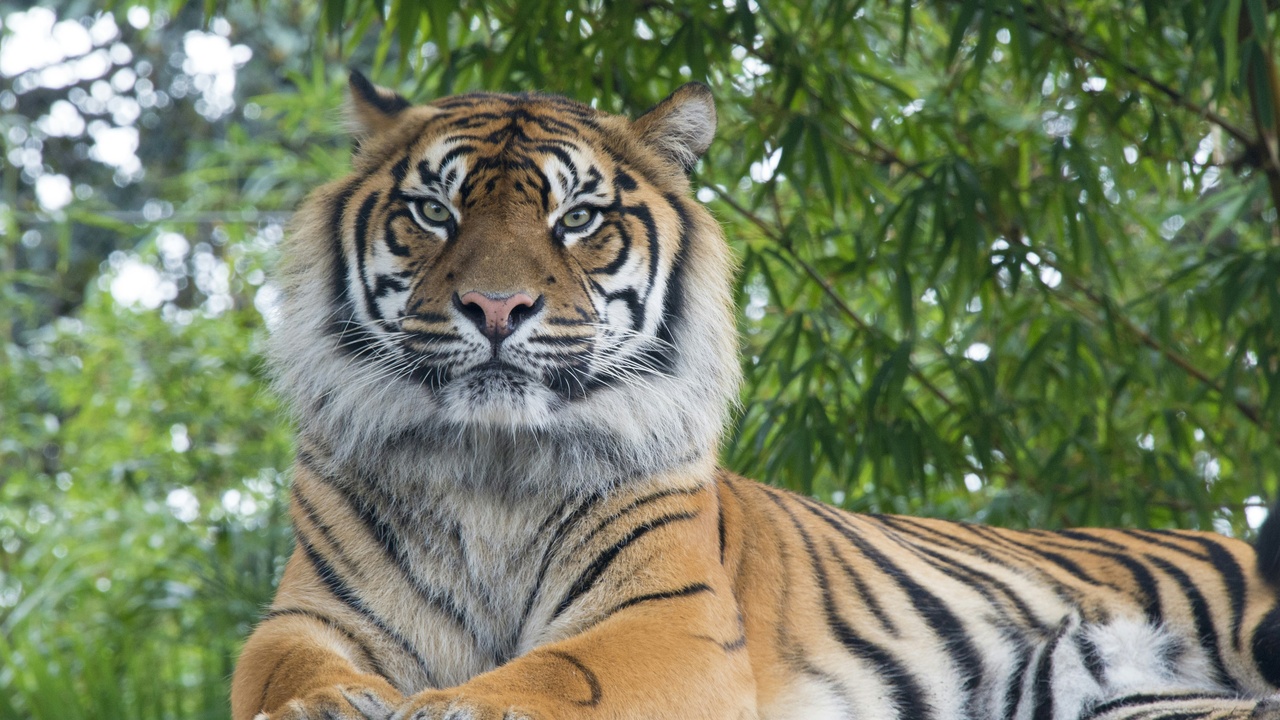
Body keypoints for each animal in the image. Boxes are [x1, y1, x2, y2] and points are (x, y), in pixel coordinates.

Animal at [230, 71, 1280, 720]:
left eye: (579, 219)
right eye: (434, 211)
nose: (496, 306)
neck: (491, 465)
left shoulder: (668, 620)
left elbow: (561, 674)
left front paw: (456, 704)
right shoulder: (307, 618)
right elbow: (285, 669)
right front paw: (331, 704)